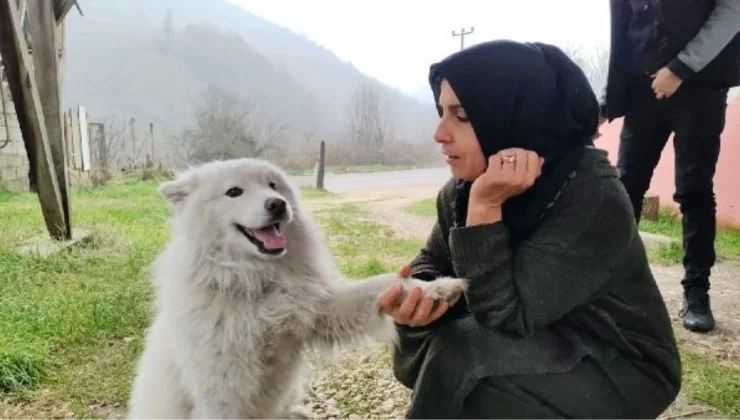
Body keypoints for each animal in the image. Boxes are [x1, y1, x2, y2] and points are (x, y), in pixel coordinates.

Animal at [124, 158, 466, 420]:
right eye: (234, 192)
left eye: (273, 186)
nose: (278, 205)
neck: (257, 284)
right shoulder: (223, 395)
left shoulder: (321, 309)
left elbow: (382, 283)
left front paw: (438, 288)